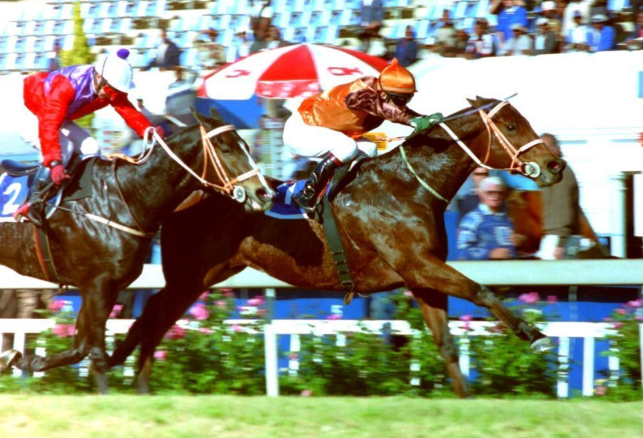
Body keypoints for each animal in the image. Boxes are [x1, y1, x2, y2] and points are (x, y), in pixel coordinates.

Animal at [0, 110, 274, 393]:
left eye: (247, 146)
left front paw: (22, 359)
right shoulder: (97, 285)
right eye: (226, 148)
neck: (124, 198)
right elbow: (96, 352)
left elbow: (82, 347)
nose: (264, 193)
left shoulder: (106, 287)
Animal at [109, 97, 565, 396]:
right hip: (189, 274)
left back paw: (133, 376)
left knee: (155, 318)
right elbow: (481, 290)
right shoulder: (418, 264)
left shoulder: (422, 275)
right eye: (511, 126)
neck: (409, 186)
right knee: (153, 318)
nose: (556, 164)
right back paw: (131, 377)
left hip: (201, 276)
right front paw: (536, 335)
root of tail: (188, 190)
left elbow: (446, 342)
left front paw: (465, 397)